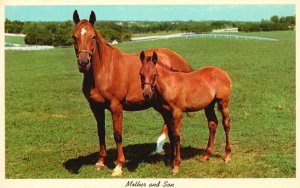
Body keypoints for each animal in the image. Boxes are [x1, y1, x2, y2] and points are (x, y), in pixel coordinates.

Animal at [71, 9, 191, 175]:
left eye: (93, 36)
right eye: (74, 36)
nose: (83, 63)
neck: (105, 69)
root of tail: (178, 58)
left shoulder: (116, 106)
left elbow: (117, 135)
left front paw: (119, 166)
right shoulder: (96, 107)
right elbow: (101, 133)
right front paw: (100, 162)